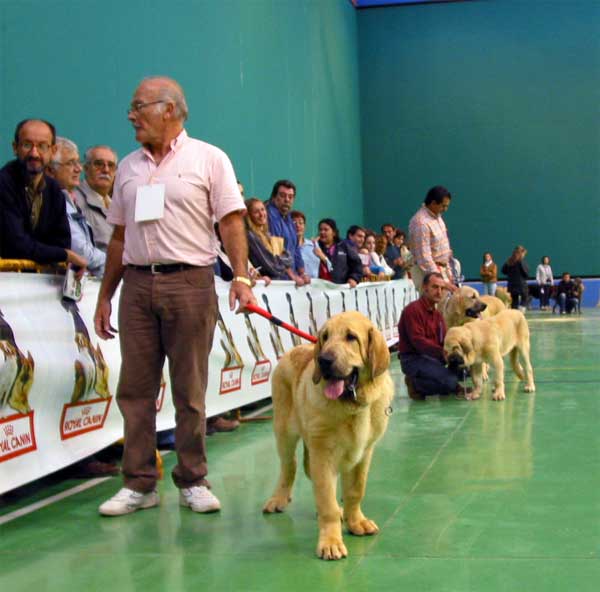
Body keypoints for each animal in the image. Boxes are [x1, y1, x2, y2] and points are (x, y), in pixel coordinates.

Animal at [264, 310, 394, 560]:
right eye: (324, 337)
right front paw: (331, 542)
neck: (353, 406)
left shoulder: (363, 453)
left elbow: (355, 491)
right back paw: (278, 499)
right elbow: (327, 502)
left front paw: (356, 522)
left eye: (351, 337)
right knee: (289, 467)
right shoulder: (323, 453)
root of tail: (293, 350)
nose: (323, 360)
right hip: (284, 433)